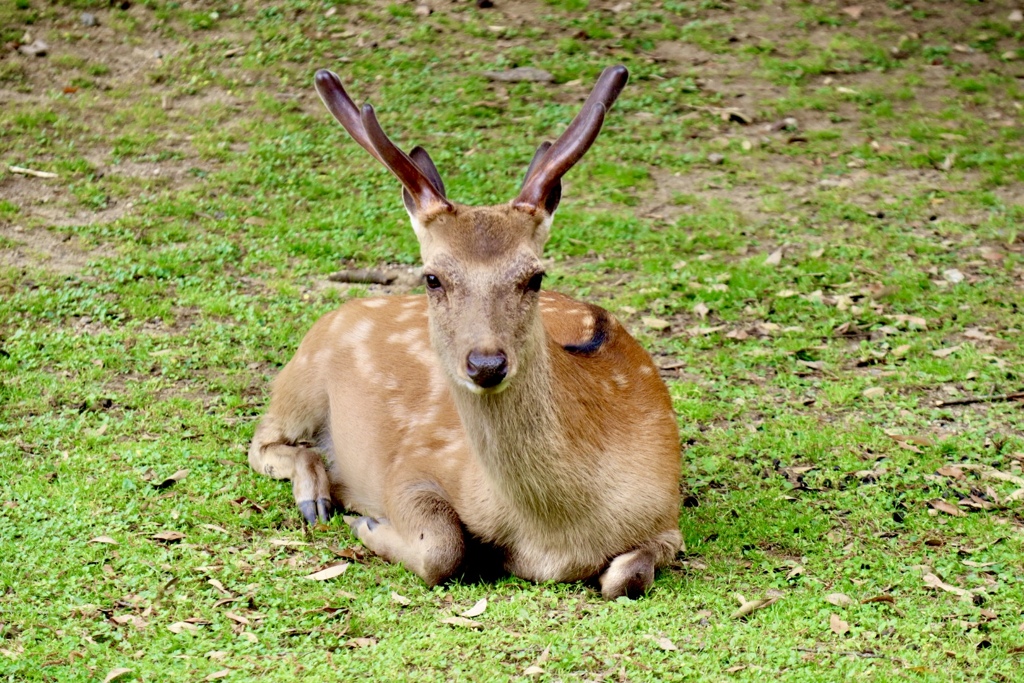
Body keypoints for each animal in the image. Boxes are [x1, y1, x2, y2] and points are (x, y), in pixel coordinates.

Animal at [248, 65, 682, 599]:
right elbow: (443, 547)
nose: (486, 363)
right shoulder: (412, 465)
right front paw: (366, 523)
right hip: (301, 376)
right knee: (263, 440)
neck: (557, 536)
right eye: (432, 277)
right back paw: (317, 498)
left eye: (535, 276)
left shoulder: (667, 511)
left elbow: (627, 576)